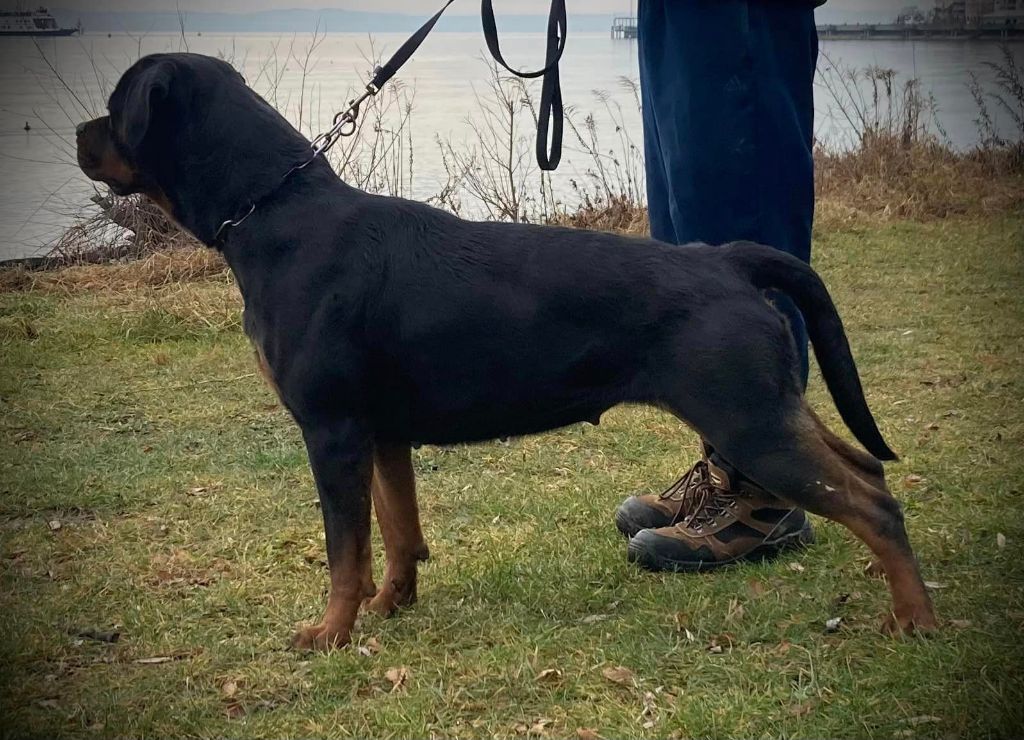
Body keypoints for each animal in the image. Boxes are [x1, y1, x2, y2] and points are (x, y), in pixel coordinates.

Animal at [75, 55, 937, 650]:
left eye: (116, 109)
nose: (80, 134)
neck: (274, 212)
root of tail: (725, 258)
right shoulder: (379, 433)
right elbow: (396, 530)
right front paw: (391, 606)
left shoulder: (330, 431)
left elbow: (343, 547)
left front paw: (331, 633)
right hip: (770, 405)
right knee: (863, 469)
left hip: (748, 418)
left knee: (871, 502)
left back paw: (914, 616)